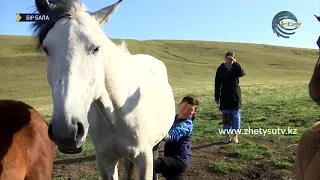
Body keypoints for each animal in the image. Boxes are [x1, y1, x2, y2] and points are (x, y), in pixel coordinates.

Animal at [31, 0, 176, 179]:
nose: (65, 131)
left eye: (96, 48)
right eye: (46, 49)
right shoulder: (105, 160)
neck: (117, 112)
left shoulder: (145, 159)